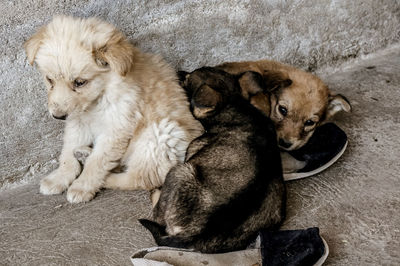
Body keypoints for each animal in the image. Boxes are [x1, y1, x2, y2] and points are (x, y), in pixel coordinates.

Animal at [24, 16, 203, 204]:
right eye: (49, 80)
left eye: (79, 82)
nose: (58, 116)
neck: (99, 96)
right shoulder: (77, 121)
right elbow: (67, 152)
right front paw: (59, 177)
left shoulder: (116, 128)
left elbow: (97, 162)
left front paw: (82, 186)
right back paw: (85, 153)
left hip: (160, 135)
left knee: (141, 178)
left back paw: (106, 178)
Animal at [139, 67, 286, 254]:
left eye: (186, 80)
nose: (178, 71)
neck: (236, 106)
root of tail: (193, 235)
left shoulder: (194, 147)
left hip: (180, 171)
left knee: (158, 214)